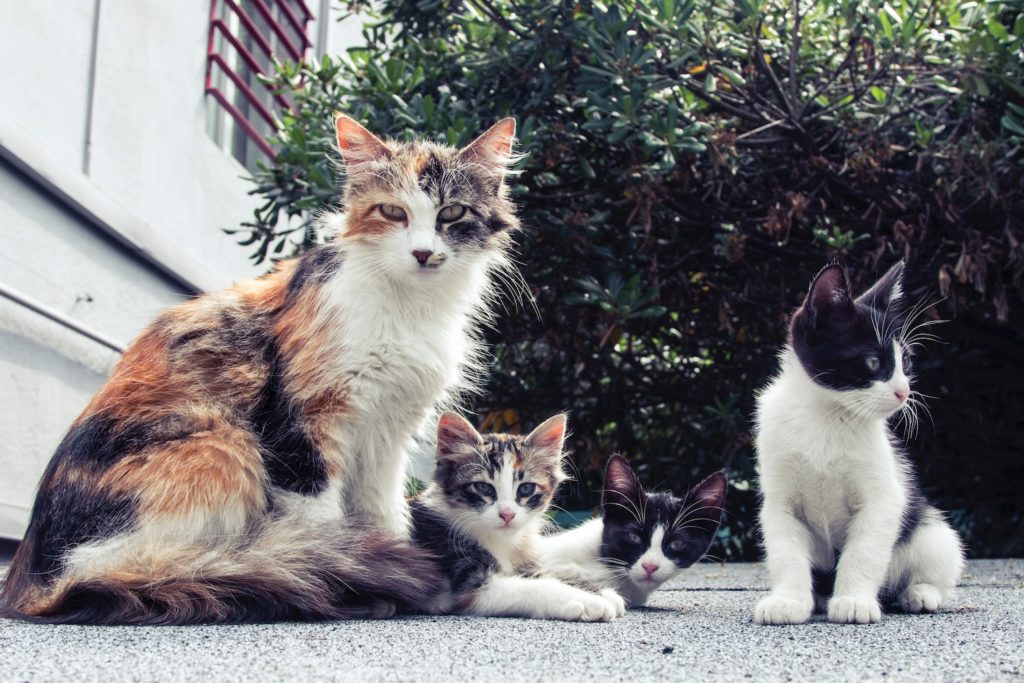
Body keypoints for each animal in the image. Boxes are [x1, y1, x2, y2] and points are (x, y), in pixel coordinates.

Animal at [0, 114, 524, 622]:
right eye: (393, 212)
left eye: (451, 213)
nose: (422, 253)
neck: (411, 307)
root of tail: (30, 582)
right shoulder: (306, 421)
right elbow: (323, 523)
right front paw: (358, 575)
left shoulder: (386, 433)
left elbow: (383, 513)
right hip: (221, 444)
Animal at [409, 413, 622, 622]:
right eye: (483, 487)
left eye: (526, 488)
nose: (507, 514)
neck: (502, 541)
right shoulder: (469, 582)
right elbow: (536, 586)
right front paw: (589, 600)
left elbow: (547, 573)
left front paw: (601, 592)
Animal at [753, 260, 958, 626]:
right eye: (874, 362)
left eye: (906, 362)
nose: (904, 391)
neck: (826, 417)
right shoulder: (779, 500)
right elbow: (785, 550)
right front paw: (788, 601)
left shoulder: (884, 498)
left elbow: (864, 550)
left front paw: (853, 601)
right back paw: (820, 597)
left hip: (931, 530)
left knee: (937, 562)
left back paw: (919, 593)